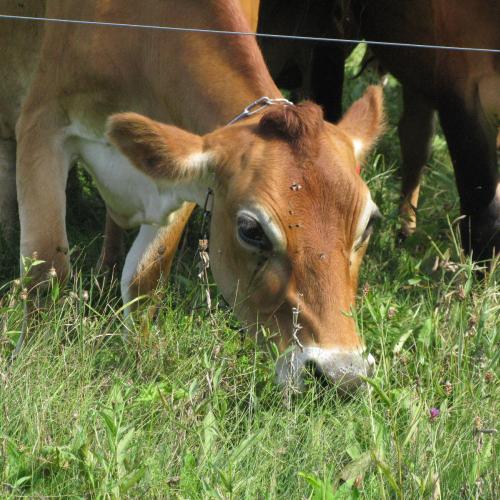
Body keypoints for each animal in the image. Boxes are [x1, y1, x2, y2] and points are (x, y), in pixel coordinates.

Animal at [0, 0, 382, 388]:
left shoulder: (183, 173)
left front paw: (137, 359)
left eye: (369, 224)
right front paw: (33, 361)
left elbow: (145, 278)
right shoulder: (42, 122)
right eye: (251, 230)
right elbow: (46, 267)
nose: (343, 375)